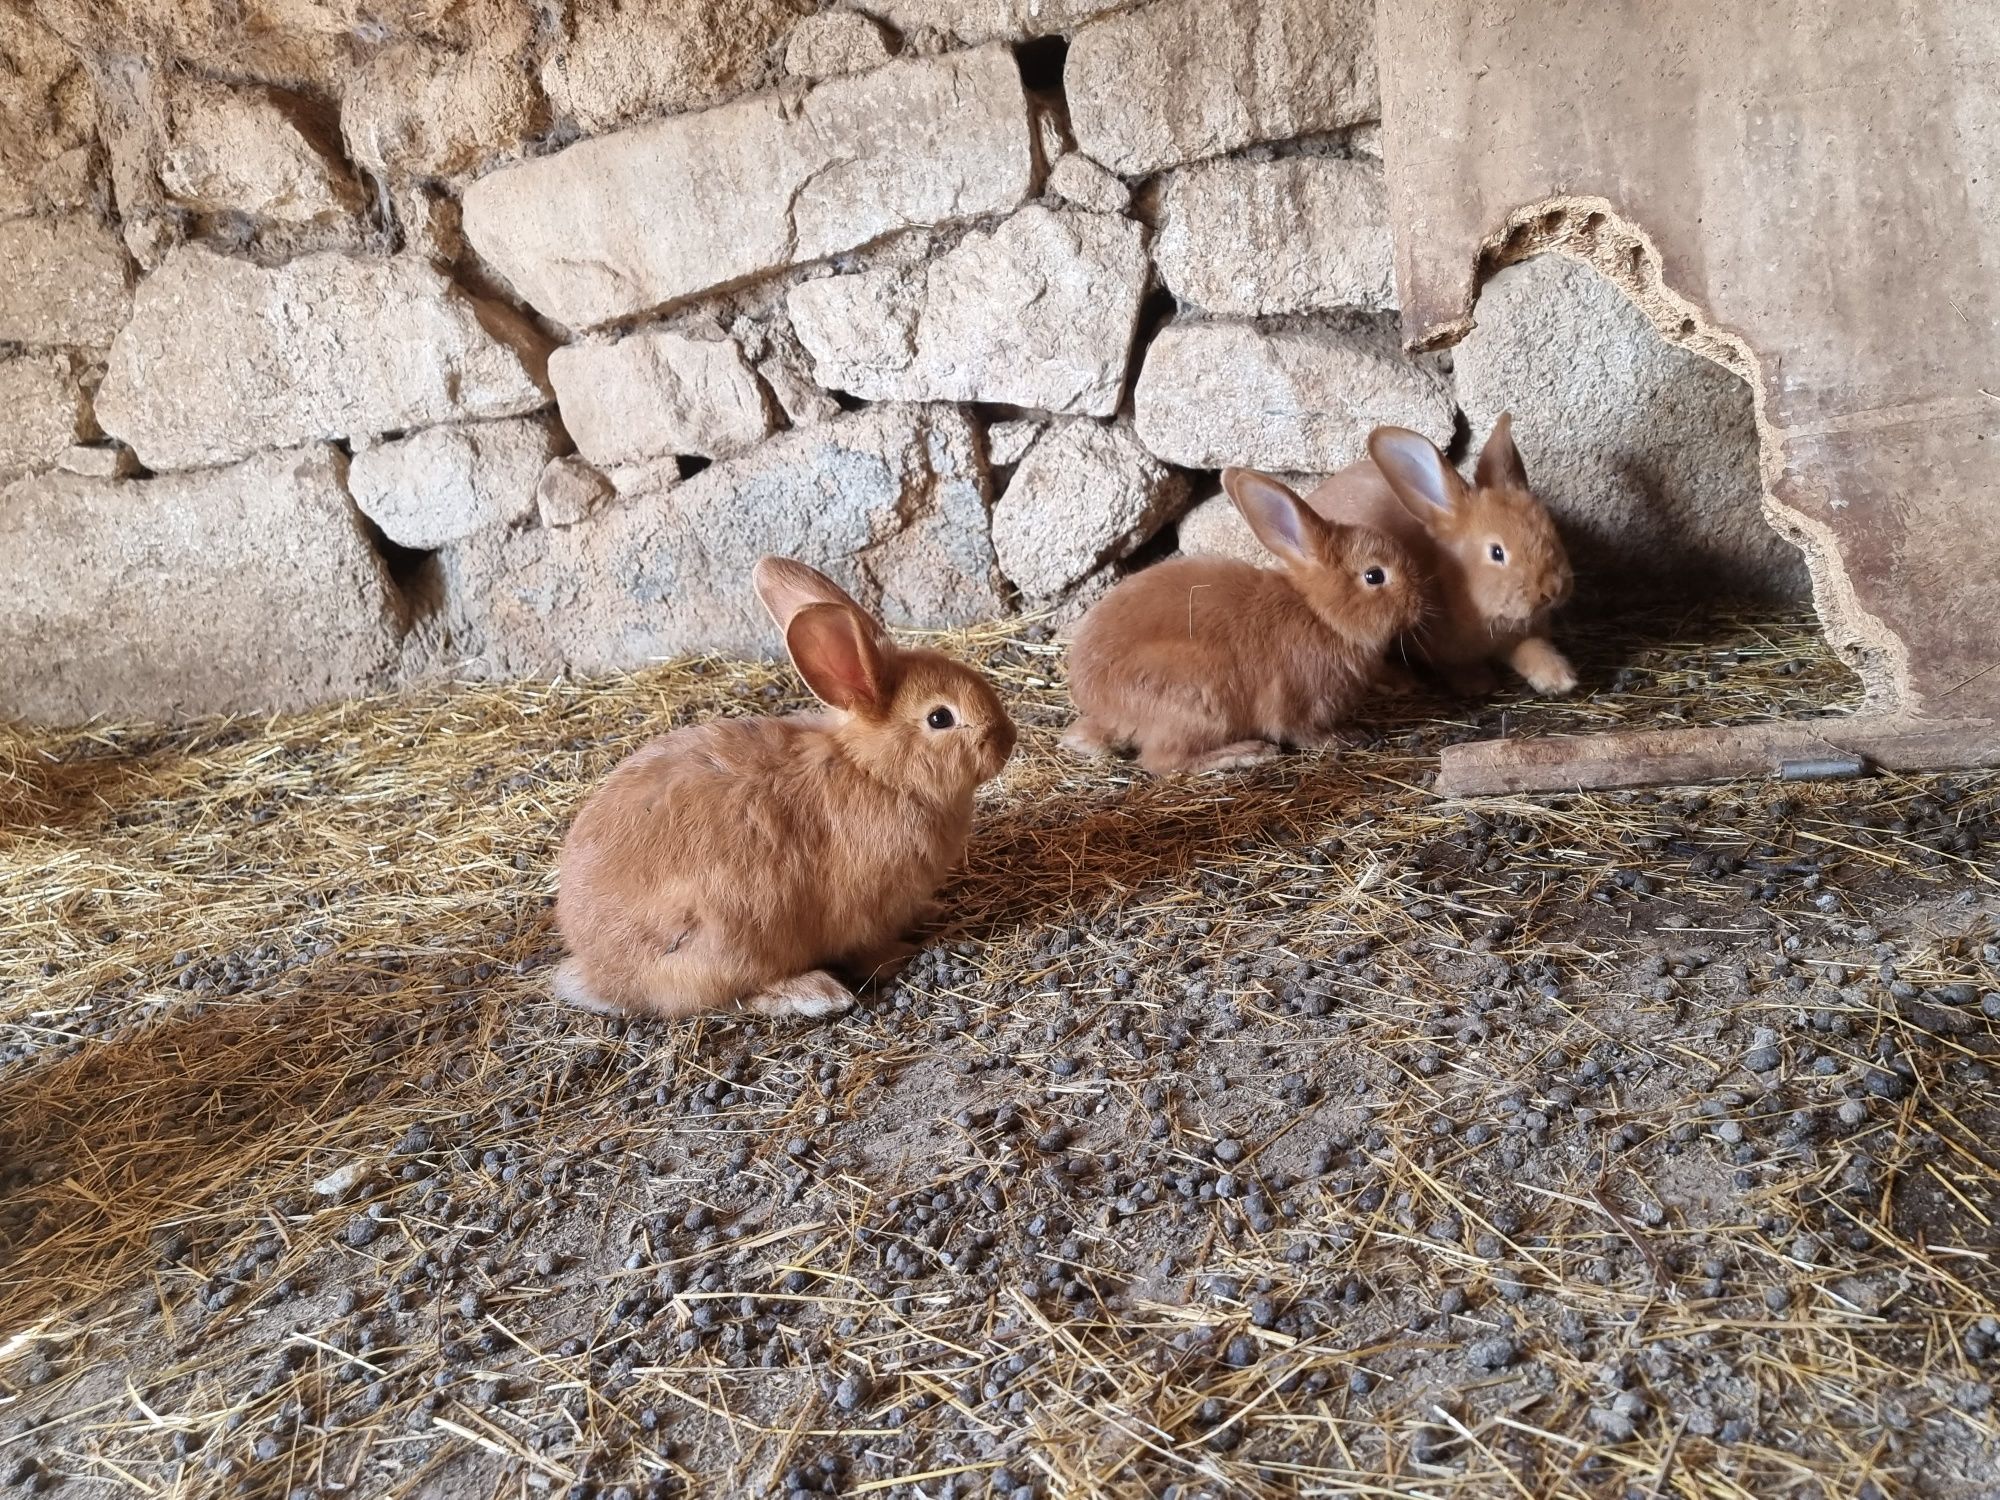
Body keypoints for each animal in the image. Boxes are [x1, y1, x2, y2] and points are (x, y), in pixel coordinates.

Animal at [548, 560, 1016, 1032]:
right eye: (940, 718)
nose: (1007, 739)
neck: (875, 772)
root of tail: (599, 970)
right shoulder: (864, 914)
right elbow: (868, 949)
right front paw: (899, 956)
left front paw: (932, 912)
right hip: (729, 939)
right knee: (733, 996)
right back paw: (815, 993)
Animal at [1064, 470, 1424, 776]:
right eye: (1374, 576)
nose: (1418, 603)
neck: (1320, 614)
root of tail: (1102, 710)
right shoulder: (1300, 704)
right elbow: (1306, 734)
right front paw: (1348, 735)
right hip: (1199, 705)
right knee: (1164, 762)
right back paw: (1248, 752)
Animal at [1312, 418, 1576, 700]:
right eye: (1497, 552)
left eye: (1550, 529)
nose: (1552, 589)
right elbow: (1453, 665)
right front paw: (1477, 684)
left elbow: (1532, 648)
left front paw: (1559, 679)